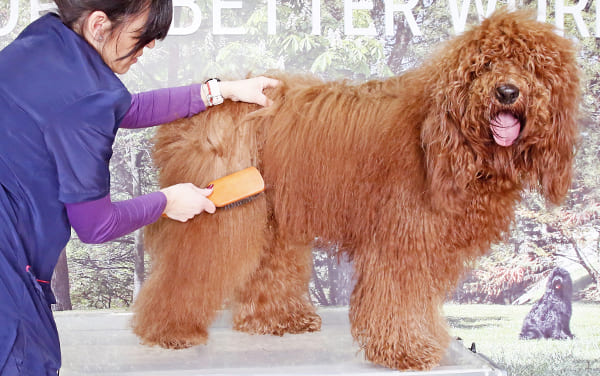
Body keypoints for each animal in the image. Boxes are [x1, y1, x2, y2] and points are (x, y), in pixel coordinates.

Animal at [130, 10, 576, 372]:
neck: (449, 132)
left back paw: (278, 319)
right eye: (484, 65)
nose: (507, 91)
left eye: (532, 67)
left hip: (269, 209)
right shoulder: (403, 239)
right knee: (187, 268)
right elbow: (399, 298)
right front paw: (406, 350)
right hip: (219, 210)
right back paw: (168, 330)